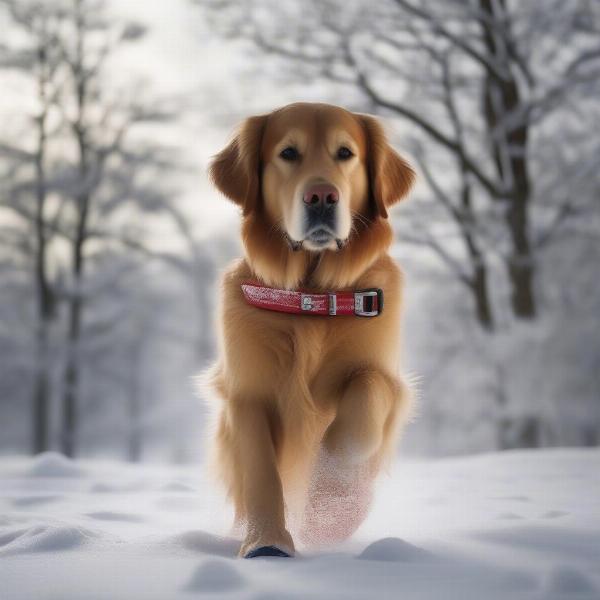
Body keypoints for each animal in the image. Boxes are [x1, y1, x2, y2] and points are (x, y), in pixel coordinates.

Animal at [206, 102, 412, 556]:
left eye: (345, 153)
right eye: (288, 153)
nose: (321, 196)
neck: (312, 300)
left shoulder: (387, 377)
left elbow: (366, 395)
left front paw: (332, 496)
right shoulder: (247, 394)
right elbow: (261, 472)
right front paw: (266, 542)